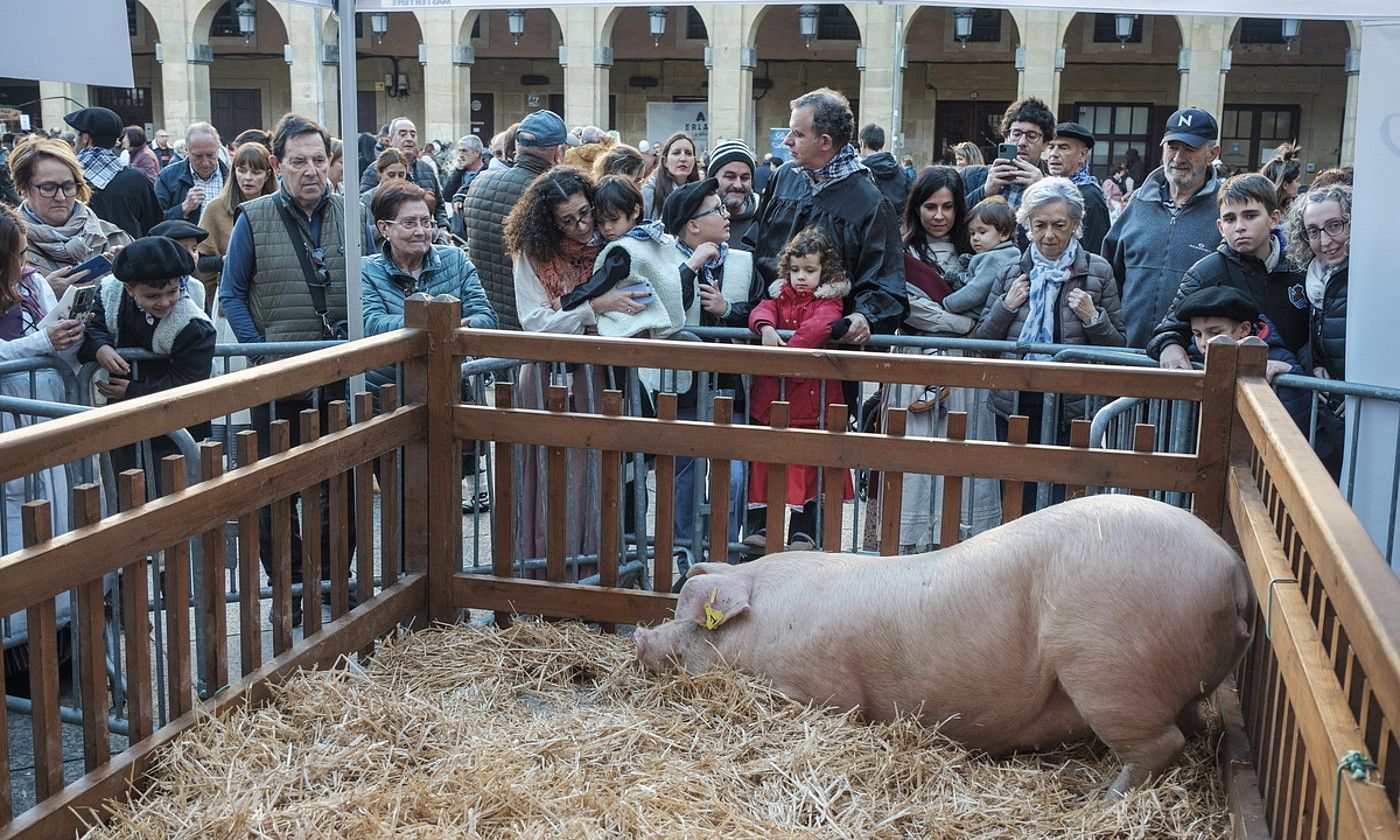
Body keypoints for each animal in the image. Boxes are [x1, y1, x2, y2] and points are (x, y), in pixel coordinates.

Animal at [630, 492, 1254, 795]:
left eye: (694, 624)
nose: (639, 637)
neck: (764, 623)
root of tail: (1234, 575)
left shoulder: (819, 691)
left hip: (1110, 669)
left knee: (1161, 744)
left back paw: (1103, 801)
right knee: (1191, 725)